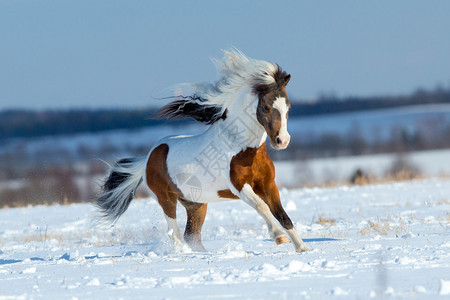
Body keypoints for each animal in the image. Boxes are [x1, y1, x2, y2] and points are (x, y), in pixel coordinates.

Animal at [96, 49, 310, 253]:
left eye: (288, 107)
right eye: (265, 107)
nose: (282, 141)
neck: (242, 149)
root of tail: (148, 157)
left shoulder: (268, 185)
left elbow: (282, 215)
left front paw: (302, 247)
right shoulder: (239, 186)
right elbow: (262, 206)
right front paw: (279, 237)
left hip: (195, 203)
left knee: (192, 235)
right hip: (166, 199)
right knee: (174, 233)